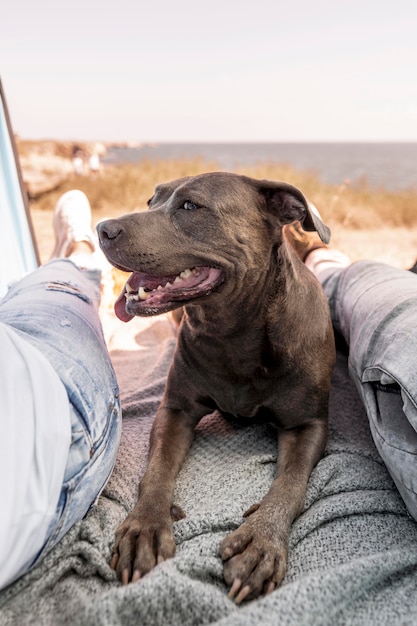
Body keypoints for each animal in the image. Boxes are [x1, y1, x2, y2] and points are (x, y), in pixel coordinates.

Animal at [97, 171, 334, 600]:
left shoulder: (307, 425)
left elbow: (291, 483)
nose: (102, 228)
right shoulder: (175, 410)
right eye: (151, 201)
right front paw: (145, 526)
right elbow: (156, 470)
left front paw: (261, 540)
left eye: (190, 206)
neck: (232, 333)